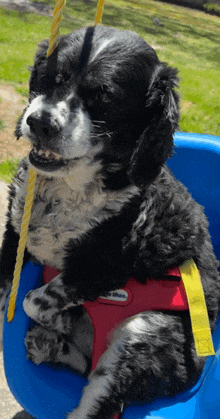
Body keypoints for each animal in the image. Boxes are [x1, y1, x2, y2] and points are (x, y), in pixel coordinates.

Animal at [0, 25, 220, 419]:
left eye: (104, 98)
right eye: (53, 77)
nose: (39, 122)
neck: (69, 188)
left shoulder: (103, 268)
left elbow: (32, 300)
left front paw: (60, 318)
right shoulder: (15, 234)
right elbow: (7, 290)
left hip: (145, 336)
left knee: (98, 400)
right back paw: (50, 345)